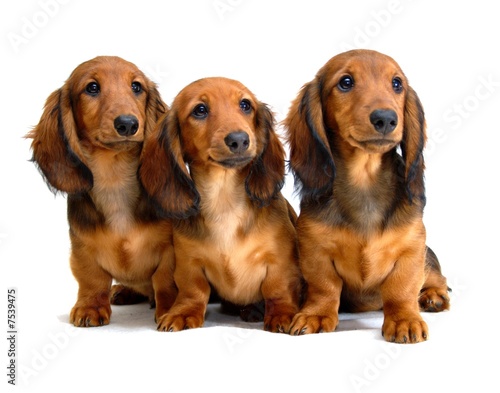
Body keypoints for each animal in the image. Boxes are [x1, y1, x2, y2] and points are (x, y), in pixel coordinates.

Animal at [27, 54, 177, 324]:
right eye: (92, 88)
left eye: (136, 87)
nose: (128, 124)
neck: (114, 179)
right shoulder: (82, 248)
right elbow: (92, 279)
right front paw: (90, 307)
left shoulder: (170, 250)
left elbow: (165, 280)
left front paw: (170, 308)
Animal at [143, 76, 302, 330]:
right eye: (200, 110)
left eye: (245, 105)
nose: (240, 139)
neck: (224, 200)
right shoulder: (189, 264)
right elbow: (193, 291)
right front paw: (183, 313)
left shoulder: (281, 261)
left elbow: (278, 288)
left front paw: (282, 314)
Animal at [284, 49, 452, 344]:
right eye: (346, 82)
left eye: (397, 84)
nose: (386, 118)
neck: (365, 183)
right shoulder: (315, 250)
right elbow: (323, 286)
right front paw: (316, 314)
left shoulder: (411, 249)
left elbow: (401, 289)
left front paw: (404, 319)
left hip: (428, 261)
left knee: (437, 279)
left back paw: (433, 296)